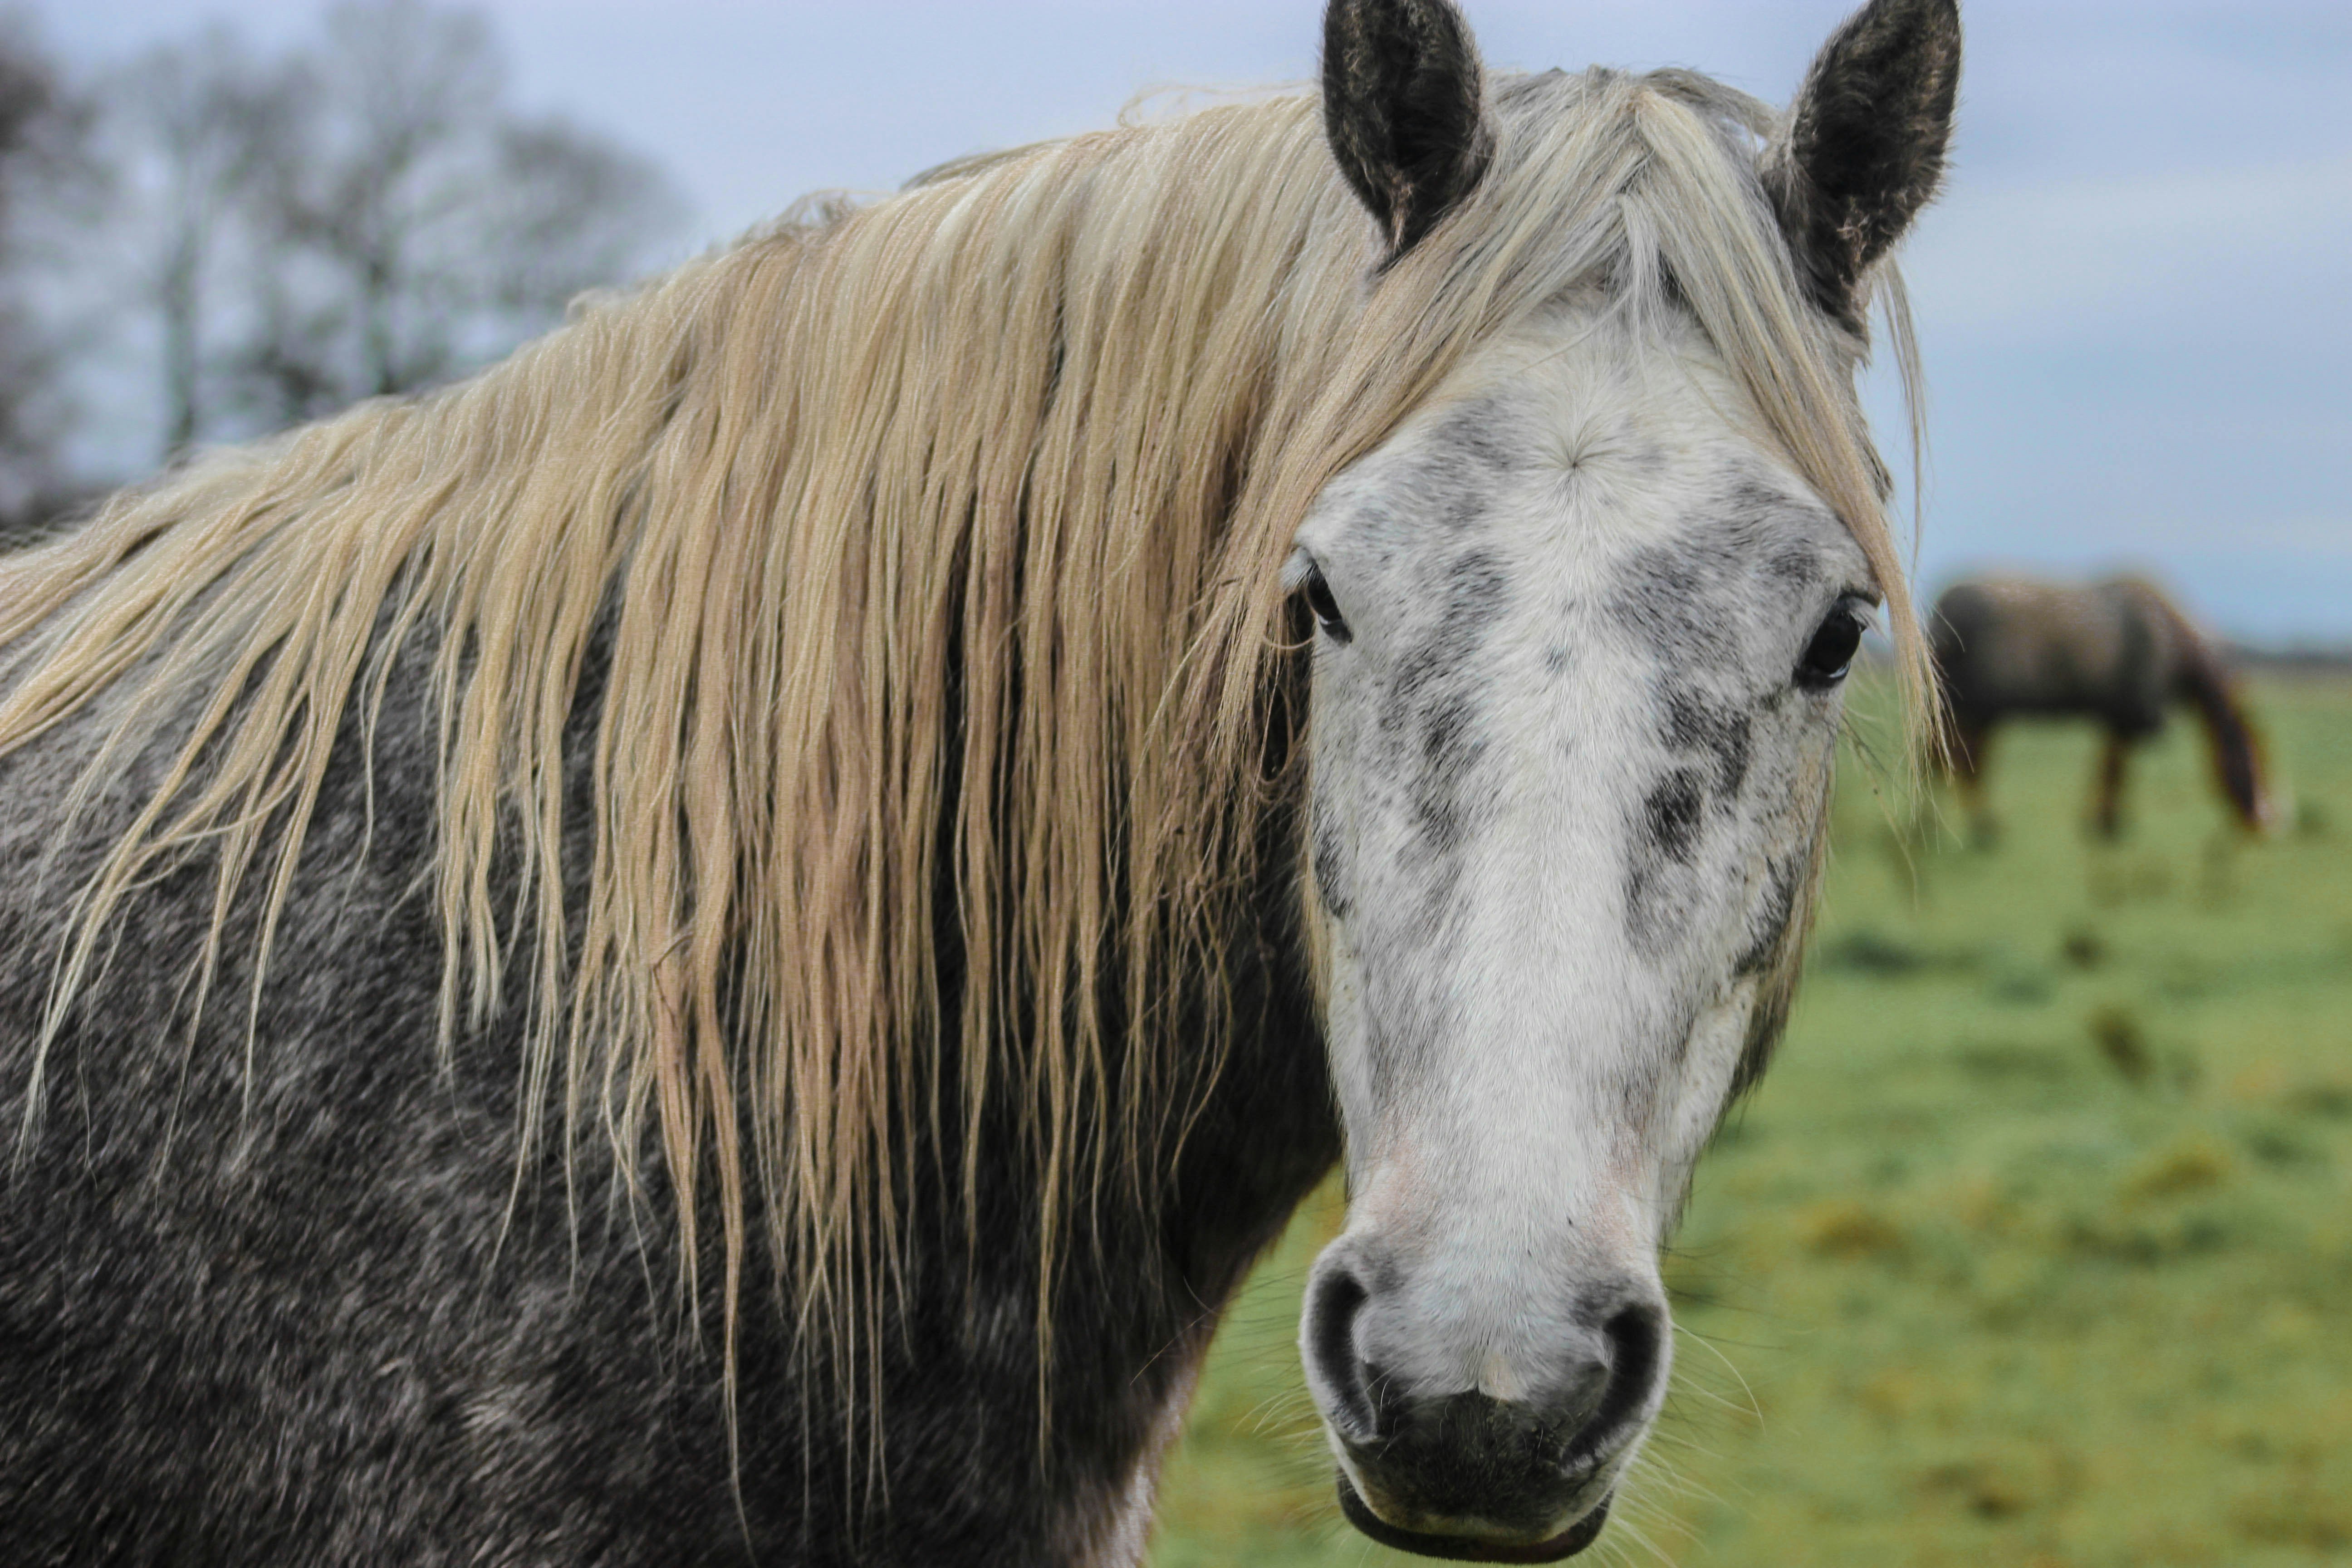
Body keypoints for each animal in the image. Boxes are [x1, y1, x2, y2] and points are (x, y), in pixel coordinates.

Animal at [1931, 574, 2272, 842]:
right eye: (2250, 762)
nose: (2264, 820)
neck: (2170, 640)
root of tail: (1942, 611)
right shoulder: (2130, 720)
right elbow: (2115, 772)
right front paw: (2109, 825)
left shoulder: (2117, 720)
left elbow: (2109, 768)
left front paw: (2101, 822)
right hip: (1976, 714)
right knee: (1968, 768)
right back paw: (1983, 829)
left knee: (1943, 764)